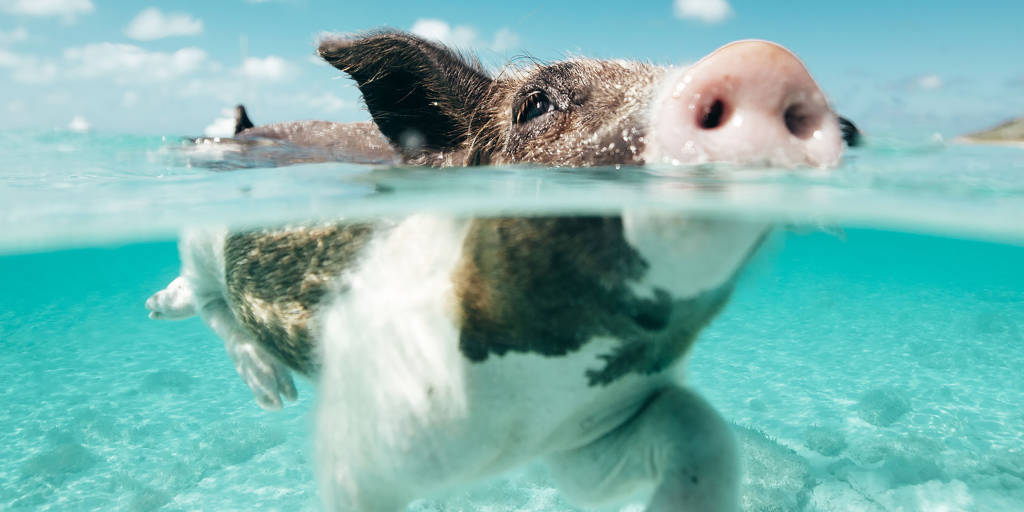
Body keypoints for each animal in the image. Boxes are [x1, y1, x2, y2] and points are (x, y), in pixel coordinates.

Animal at [148, 29, 860, 509]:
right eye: (536, 105)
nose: (766, 59)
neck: (520, 415)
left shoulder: (583, 444)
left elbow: (702, 433)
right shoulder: (362, 445)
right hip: (205, 231)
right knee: (206, 296)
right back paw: (266, 386)